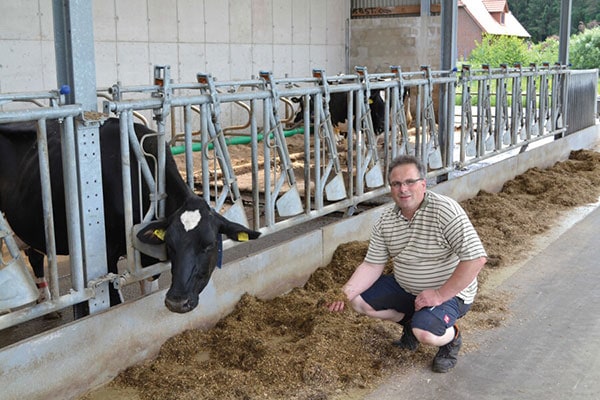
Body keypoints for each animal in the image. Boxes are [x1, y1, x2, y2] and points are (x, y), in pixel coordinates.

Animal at [0, 117, 260, 314]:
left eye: (209, 245)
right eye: (171, 243)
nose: (176, 302)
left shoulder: (147, 258)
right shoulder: (105, 257)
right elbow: (114, 301)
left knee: (35, 256)